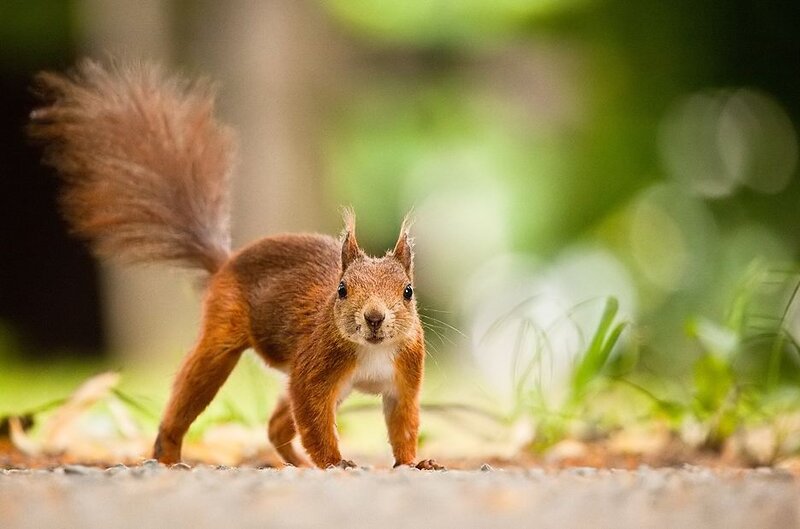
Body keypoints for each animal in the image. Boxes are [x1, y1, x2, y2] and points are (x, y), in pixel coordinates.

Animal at [28, 59, 442, 470]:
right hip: (222, 336)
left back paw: (294, 463)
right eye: (342, 290)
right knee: (191, 398)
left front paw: (415, 463)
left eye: (408, 292)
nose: (374, 317)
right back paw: (169, 455)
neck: (372, 350)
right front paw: (334, 462)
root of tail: (226, 263)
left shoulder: (405, 377)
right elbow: (312, 417)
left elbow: (404, 423)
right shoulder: (315, 369)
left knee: (276, 426)